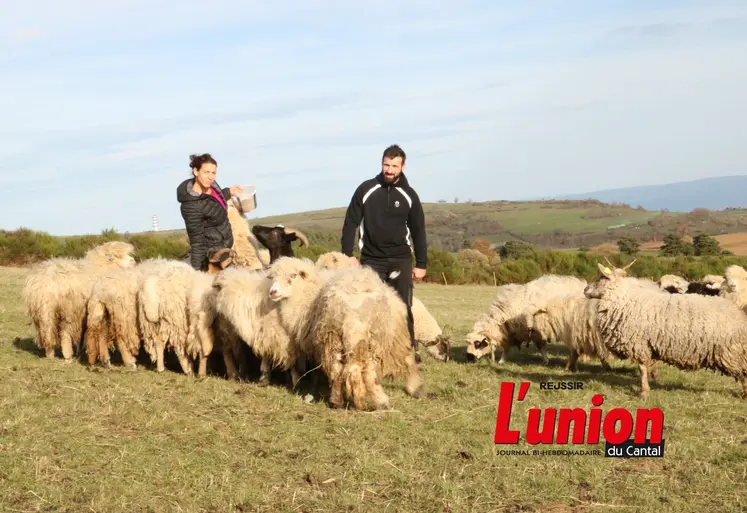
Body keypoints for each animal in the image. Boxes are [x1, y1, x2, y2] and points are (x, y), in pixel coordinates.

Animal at [266, 257, 424, 410]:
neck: (307, 294)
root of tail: (348, 311)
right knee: (364, 372)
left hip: (338, 336)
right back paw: (375, 402)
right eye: (273, 277)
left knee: (340, 370)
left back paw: (340, 401)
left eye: (293, 275)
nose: (272, 292)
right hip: (366, 340)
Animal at [584, 262, 747, 398]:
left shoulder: (639, 344)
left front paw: (644, 392)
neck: (624, 299)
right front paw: (652, 380)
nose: (585, 290)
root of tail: (738, 313)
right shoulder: (647, 344)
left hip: (732, 352)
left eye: (601, 277)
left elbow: (642, 368)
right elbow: (649, 366)